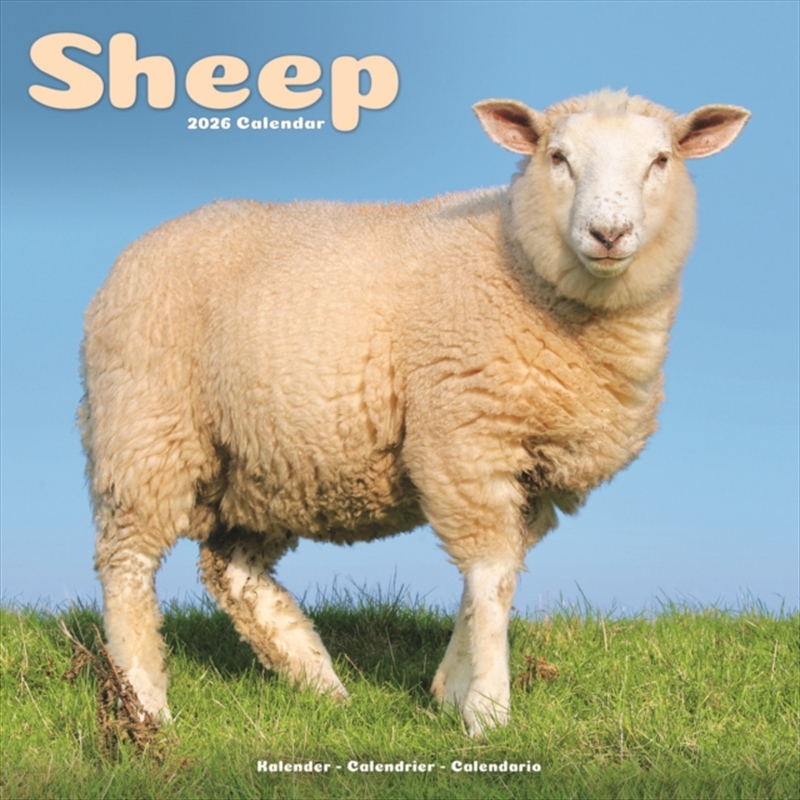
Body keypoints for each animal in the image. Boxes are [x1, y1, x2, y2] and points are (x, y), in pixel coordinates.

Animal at [79, 89, 750, 736]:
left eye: (660, 160)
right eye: (557, 158)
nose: (608, 234)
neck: (519, 262)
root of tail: (133, 252)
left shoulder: (531, 475)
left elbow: (493, 580)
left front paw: (450, 690)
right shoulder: (465, 438)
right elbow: (491, 576)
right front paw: (488, 709)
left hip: (263, 463)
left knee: (233, 574)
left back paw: (319, 683)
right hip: (145, 430)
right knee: (126, 566)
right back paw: (147, 704)